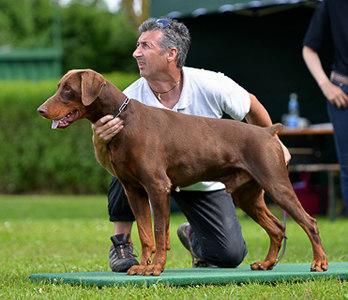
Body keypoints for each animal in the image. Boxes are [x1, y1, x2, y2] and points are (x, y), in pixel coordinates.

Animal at [38, 69, 328, 276]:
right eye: (59, 87)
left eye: (67, 89)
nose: (40, 110)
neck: (124, 119)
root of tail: (269, 132)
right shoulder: (134, 190)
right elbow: (145, 233)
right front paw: (143, 265)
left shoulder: (157, 187)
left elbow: (158, 231)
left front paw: (155, 268)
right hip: (248, 196)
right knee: (278, 228)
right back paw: (267, 264)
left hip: (276, 184)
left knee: (308, 222)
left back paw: (319, 263)